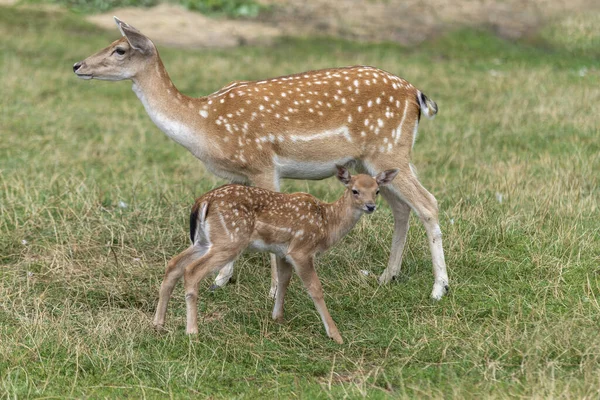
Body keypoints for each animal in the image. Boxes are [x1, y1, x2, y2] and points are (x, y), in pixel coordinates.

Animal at [72, 18, 450, 300]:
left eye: (120, 49)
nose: (77, 65)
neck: (205, 124)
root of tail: (417, 95)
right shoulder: (237, 174)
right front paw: (221, 280)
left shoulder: (262, 164)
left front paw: (271, 291)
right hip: (373, 162)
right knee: (402, 208)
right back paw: (387, 276)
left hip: (388, 148)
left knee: (428, 203)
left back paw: (439, 288)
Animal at [155, 167, 398, 342]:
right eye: (355, 190)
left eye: (377, 190)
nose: (370, 206)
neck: (327, 223)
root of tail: (203, 201)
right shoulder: (301, 250)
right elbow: (315, 289)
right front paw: (336, 335)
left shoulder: (282, 252)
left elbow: (283, 281)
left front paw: (277, 318)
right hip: (230, 240)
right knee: (191, 271)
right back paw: (192, 332)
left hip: (204, 241)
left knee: (173, 264)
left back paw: (158, 323)